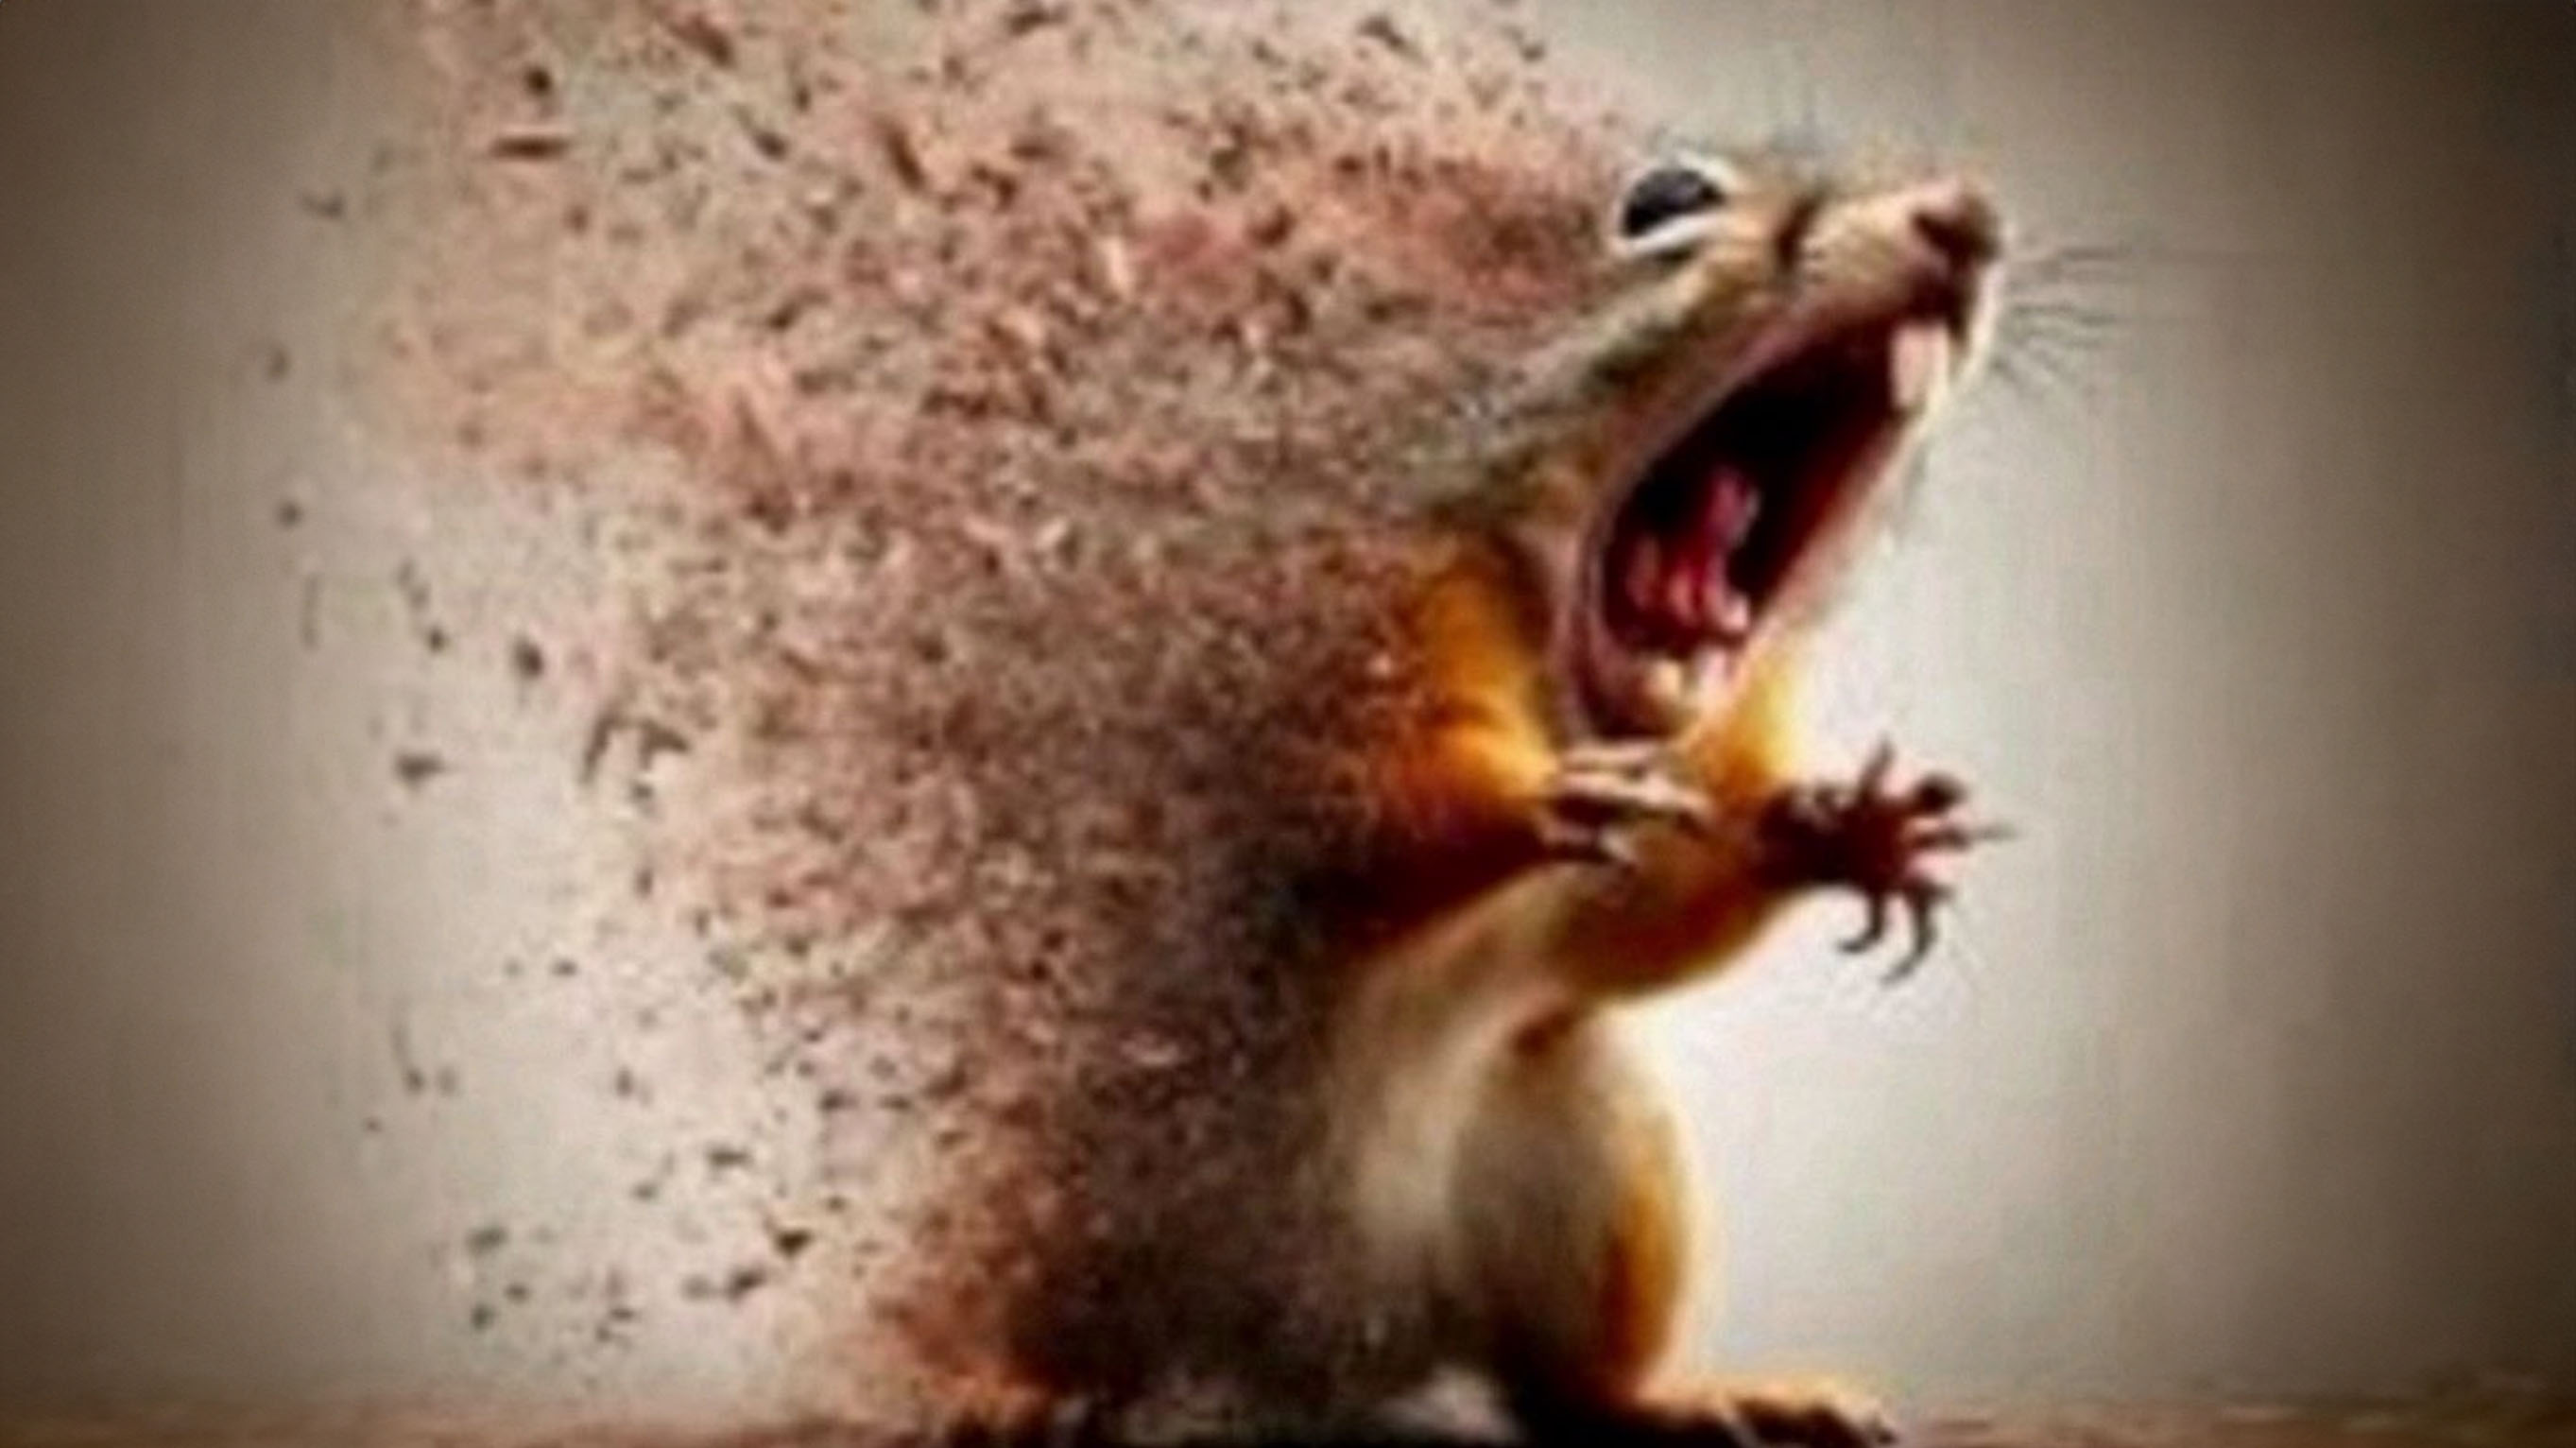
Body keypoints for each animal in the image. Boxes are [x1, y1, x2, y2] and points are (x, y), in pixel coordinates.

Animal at [941, 148, 2011, 1448]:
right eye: (1664, 200)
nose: (1966, 218)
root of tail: (1309, 1348)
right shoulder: (1345, 647)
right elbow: (1354, 808)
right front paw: (1533, 798)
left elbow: (1644, 919)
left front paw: (1840, 828)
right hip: (1063, 1203)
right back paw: (1002, 1385)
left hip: (1590, 1161)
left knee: (1564, 1390)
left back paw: (1706, 1399)